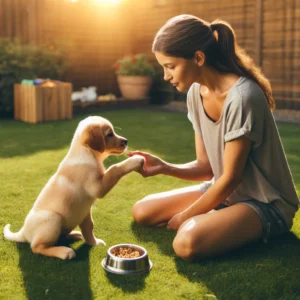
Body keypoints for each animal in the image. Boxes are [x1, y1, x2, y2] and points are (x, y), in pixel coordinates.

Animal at [3, 116, 144, 258]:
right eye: (109, 134)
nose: (126, 141)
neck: (86, 152)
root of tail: (23, 232)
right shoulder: (97, 187)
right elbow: (115, 168)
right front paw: (136, 160)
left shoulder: (86, 212)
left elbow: (89, 228)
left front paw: (94, 242)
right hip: (52, 218)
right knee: (37, 247)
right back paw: (65, 252)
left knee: (60, 237)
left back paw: (74, 235)